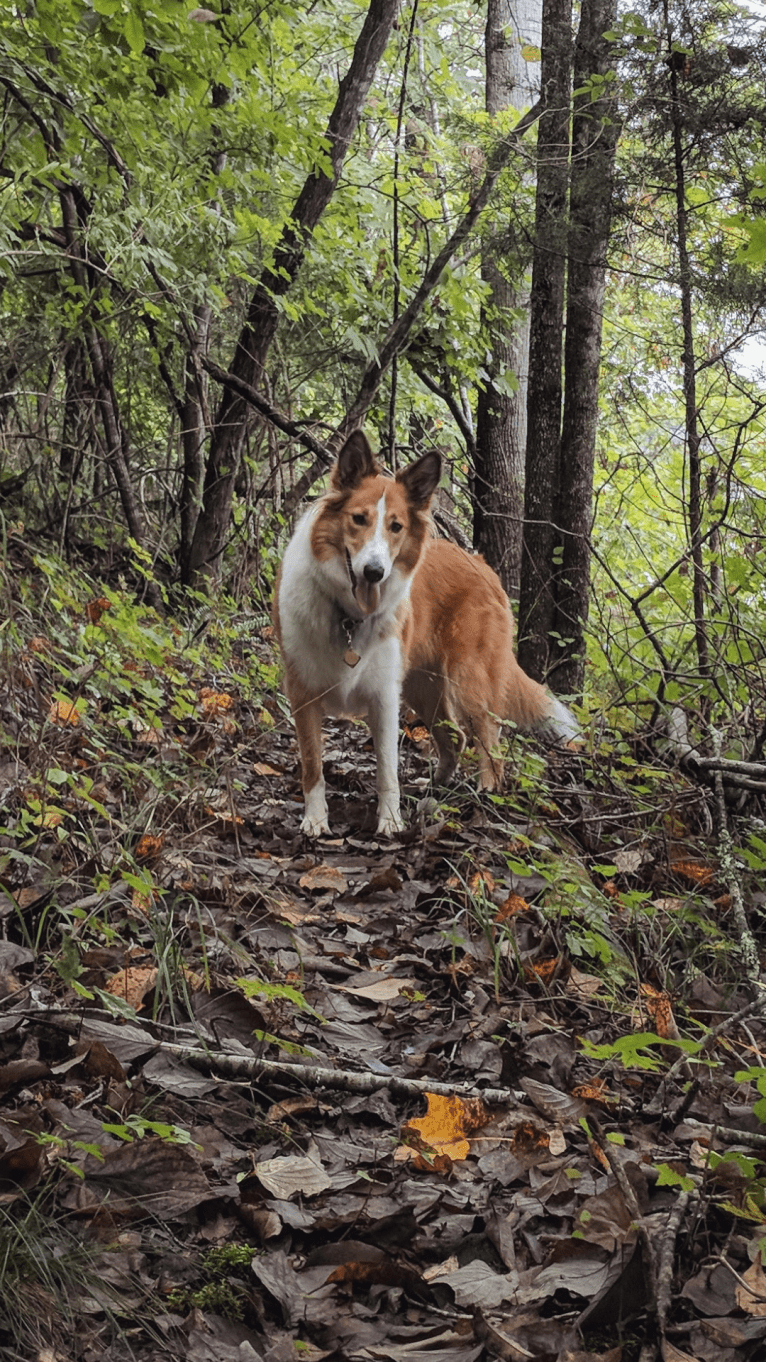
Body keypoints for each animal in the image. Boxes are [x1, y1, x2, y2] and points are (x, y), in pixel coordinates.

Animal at [271, 435, 575, 833]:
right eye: (358, 519)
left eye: (396, 527)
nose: (374, 573)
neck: (348, 616)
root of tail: (481, 564)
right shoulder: (303, 694)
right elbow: (312, 765)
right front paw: (316, 820)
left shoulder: (384, 696)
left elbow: (387, 770)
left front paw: (390, 823)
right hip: (423, 687)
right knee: (456, 738)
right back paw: (435, 789)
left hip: (467, 681)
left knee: (489, 742)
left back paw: (484, 795)